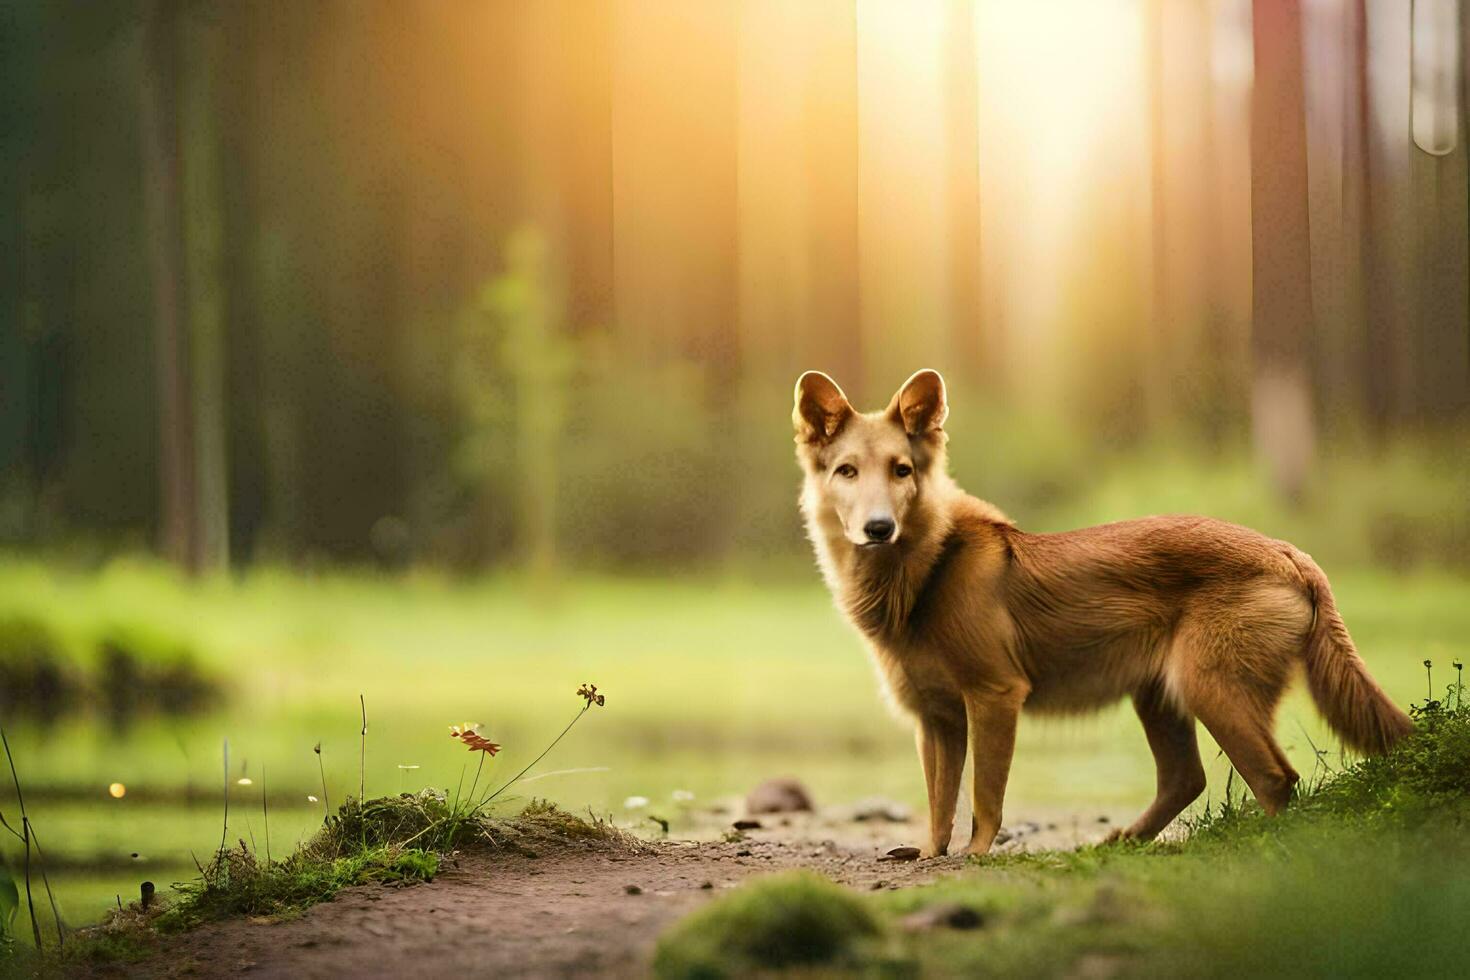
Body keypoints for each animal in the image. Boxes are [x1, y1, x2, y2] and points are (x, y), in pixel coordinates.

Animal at [793, 371, 1411, 852]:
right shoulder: (936, 719)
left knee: (1276, 779)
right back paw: (1124, 843)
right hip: (1159, 696)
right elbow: (939, 809)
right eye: (847, 471)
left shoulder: (994, 696)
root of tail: (1290, 553)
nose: (878, 528)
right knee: (1186, 779)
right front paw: (930, 858)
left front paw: (974, 859)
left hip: (1210, 687)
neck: (925, 570)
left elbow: (985, 801)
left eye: (901, 470)